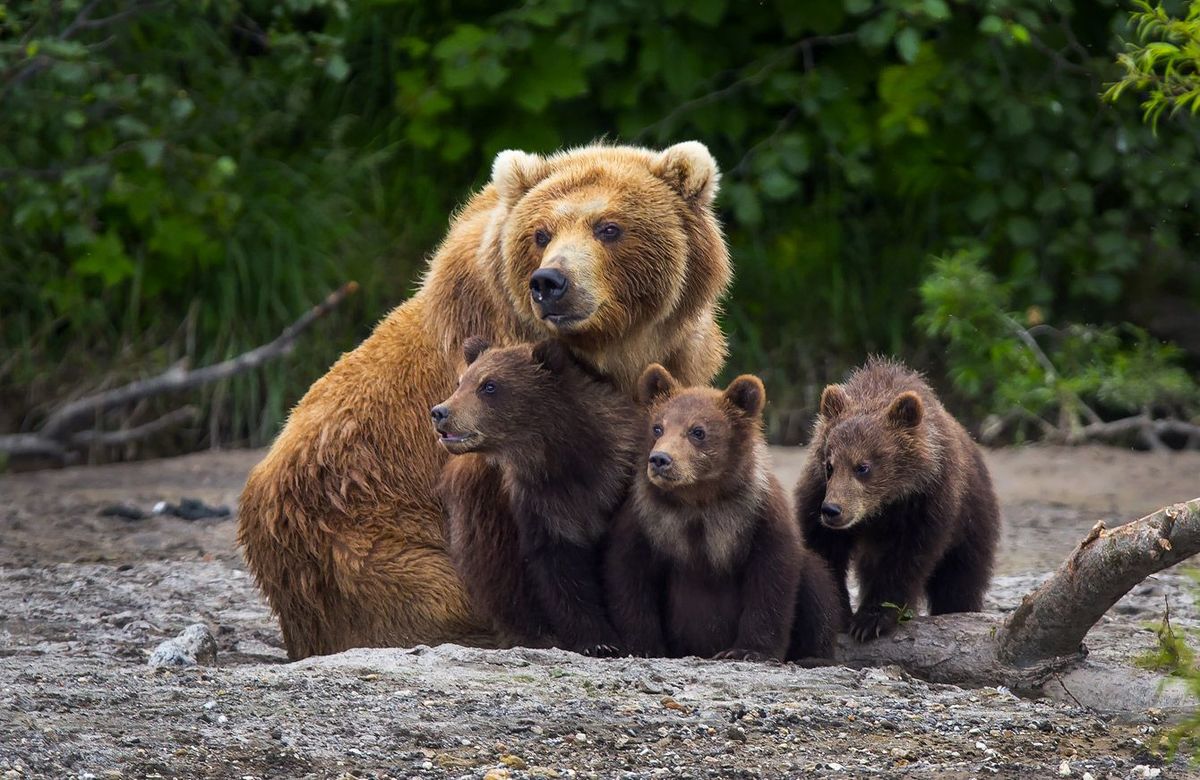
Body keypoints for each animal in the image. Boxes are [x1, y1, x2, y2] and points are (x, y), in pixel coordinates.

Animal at [236, 141, 729, 657]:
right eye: (541, 233)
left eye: (608, 227)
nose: (549, 282)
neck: (611, 353)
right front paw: (557, 628)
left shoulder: (675, 363)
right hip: (360, 542)